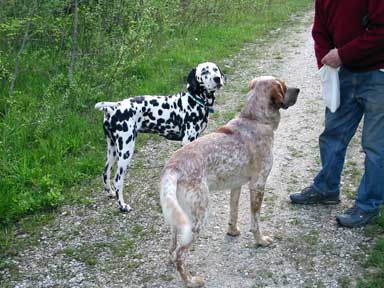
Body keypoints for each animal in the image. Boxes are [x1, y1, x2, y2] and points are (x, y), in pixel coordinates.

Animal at [94, 62, 225, 212]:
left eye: (215, 69)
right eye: (204, 71)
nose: (217, 79)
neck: (194, 101)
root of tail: (114, 107)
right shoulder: (188, 140)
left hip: (113, 150)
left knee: (105, 172)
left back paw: (109, 193)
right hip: (126, 150)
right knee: (117, 180)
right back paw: (122, 205)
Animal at [159, 76, 300, 286]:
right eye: (283, 86)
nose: (298, 90)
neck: (253, 118)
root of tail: (173, 166)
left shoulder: (237, 185)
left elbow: (233, 211)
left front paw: (233, 232)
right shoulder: (258, 185)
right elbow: (255, 221)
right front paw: (260, 241)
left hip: (179, 215)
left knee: (173, 244)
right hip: (199, 217)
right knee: (180, 254)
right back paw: (191, 281)